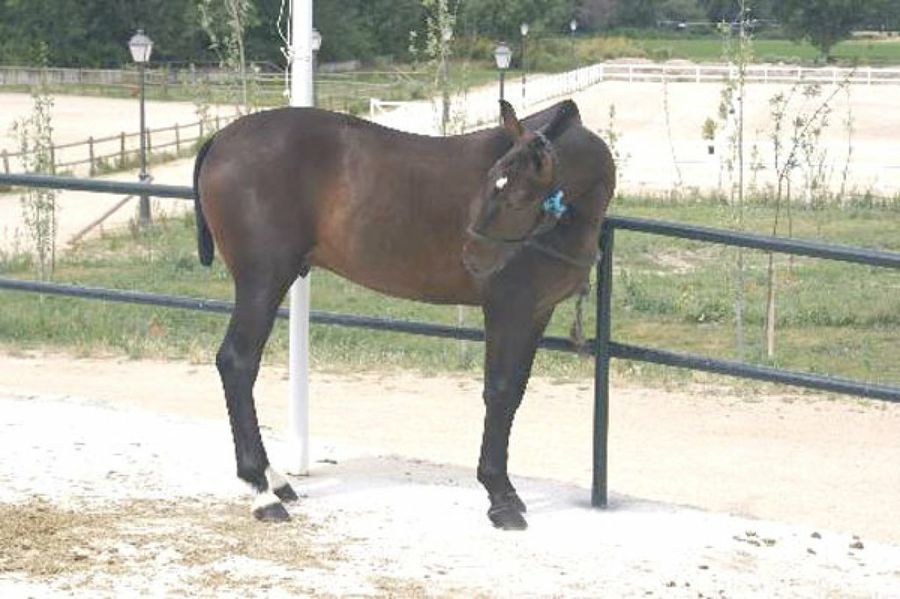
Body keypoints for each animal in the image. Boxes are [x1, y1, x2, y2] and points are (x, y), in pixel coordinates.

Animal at [193, 99, 615, 530]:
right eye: (492, 184)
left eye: (515, 198)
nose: (472, 257)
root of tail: (221, 138)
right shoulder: (507, 308)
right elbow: (497, 391)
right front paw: (500, 496)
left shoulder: (536, 311)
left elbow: (514, 391)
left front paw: (506, 491)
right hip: (263, 280)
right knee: (237, 362)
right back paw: (261, 490)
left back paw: (274, 480)